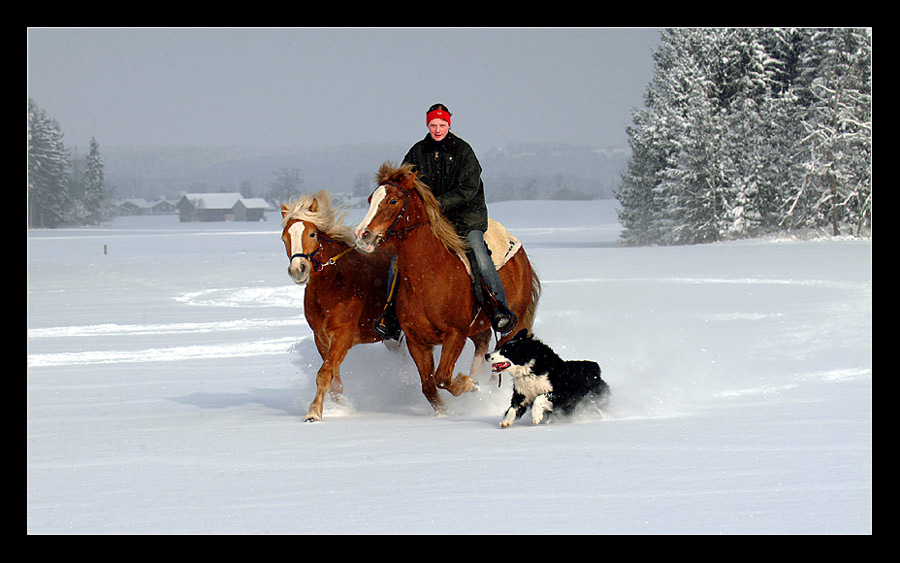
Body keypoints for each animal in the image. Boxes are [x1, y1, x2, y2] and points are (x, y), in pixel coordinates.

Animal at [282, 192, 394, 420]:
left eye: (312, 234)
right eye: (284, 238)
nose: (298, 269)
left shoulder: (342, 334)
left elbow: (324, 374)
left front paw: (314, 412)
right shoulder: (321, 337)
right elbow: (334, 381)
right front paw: (339, 408)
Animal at [356, 163, 540, 414]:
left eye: (393, 200)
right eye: (370, 199)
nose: (362, 234)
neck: (428, 277)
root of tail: (519, 251)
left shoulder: (455, 334)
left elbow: (442, 377)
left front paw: (469, 385)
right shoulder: (416, 340)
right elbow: (429, 386)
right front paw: (446, 412)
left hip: (513, 323)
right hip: (479, 327)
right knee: (482, 345)